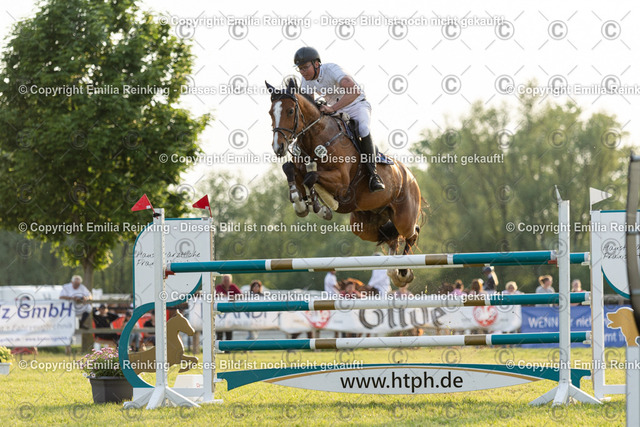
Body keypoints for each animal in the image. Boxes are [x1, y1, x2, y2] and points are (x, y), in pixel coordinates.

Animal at [266, 78, 424, 287]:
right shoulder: (299, 168)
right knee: (390, 237)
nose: (279, 147)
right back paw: (394, 270)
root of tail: (410, 176)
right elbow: (291, 170)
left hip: (404, 216)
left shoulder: (341, 182)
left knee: (412, 233)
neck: (316, 137)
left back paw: (403, 273)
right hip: (362, 225)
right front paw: (301, 204)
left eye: (290, 111)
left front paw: (321, 207)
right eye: (271, 113)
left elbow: (311, 178)